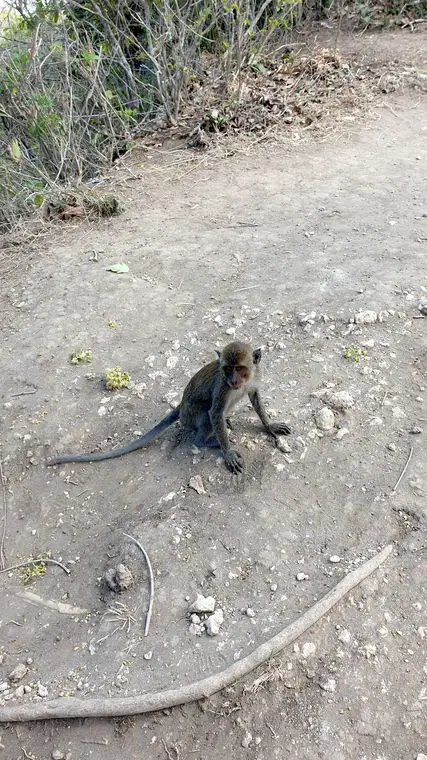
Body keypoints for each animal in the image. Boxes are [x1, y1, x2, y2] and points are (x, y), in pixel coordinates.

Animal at [48, 342, 292, 472]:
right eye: (227, 368)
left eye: (240, 368)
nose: (233, 379)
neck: (242, 381)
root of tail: (180, 407)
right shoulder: (222, 387)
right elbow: (214, 411)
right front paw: (228, 452)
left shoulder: (254, 379)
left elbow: (255, 397)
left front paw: (270, 426)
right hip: (191, 415)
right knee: (205, 415)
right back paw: (207, 441)